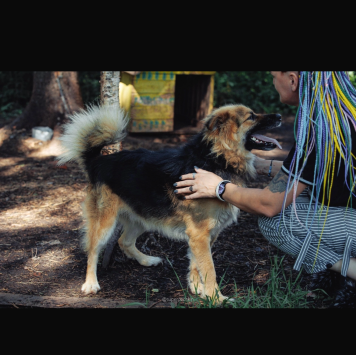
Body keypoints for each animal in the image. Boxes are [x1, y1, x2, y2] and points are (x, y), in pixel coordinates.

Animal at [57, 104, 280, 302]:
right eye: (251, 116)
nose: (279, 115)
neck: (217, 157)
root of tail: (98, 160)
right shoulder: (200, 234)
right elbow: (209, 269)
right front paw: (216, 299)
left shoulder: (203, 235)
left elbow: (196, 264)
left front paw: (197, 289)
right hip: (105, 222)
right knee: (93, 250)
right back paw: (90, 283)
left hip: (143, 217)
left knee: (124, 241)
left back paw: (147, 260)